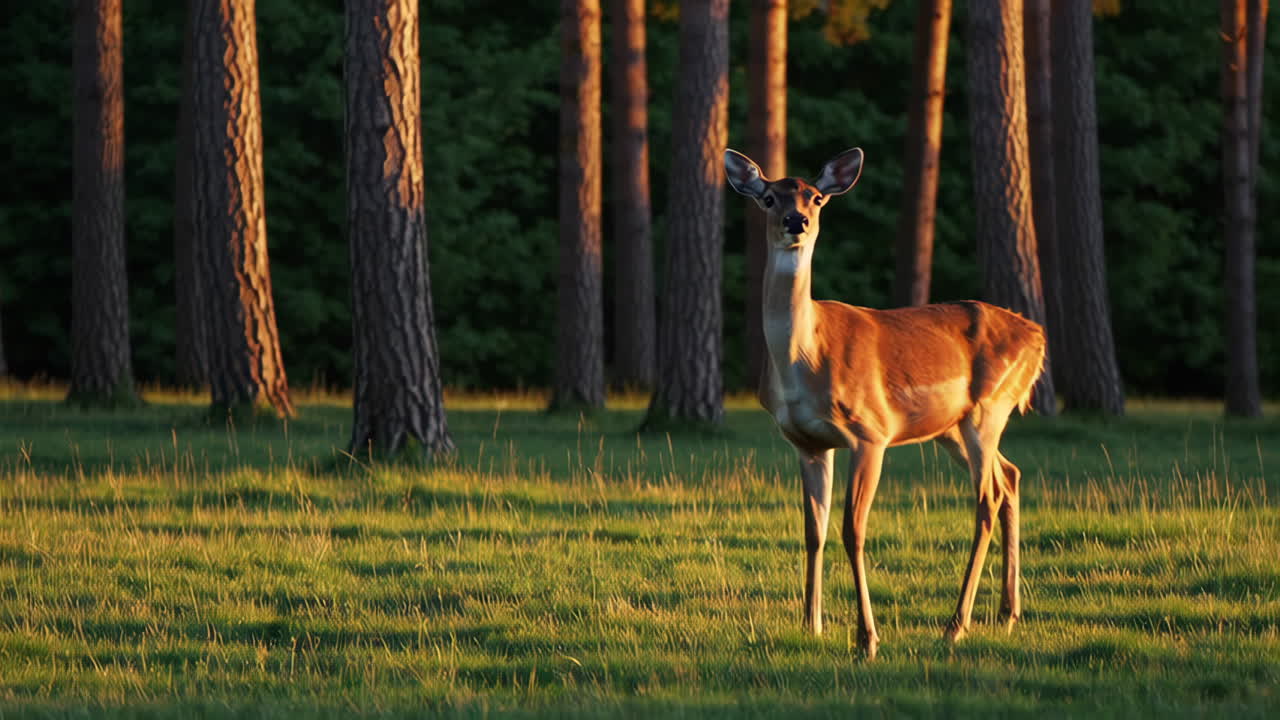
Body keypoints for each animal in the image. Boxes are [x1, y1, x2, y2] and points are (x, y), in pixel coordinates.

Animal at [725, 147, 1046, 660]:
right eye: (769, 197)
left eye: (816, 198)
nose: (796, 221)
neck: (804, 358)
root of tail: (1038, 335)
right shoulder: (806, 443)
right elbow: (813, 531)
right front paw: (811, 625)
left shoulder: (870, 432)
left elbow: (852, 531)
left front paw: (866, 638)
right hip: (952, 428)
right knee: (1010, 476)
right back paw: (1007, 613)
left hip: (987, 411)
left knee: (987, 499)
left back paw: (956, 625)